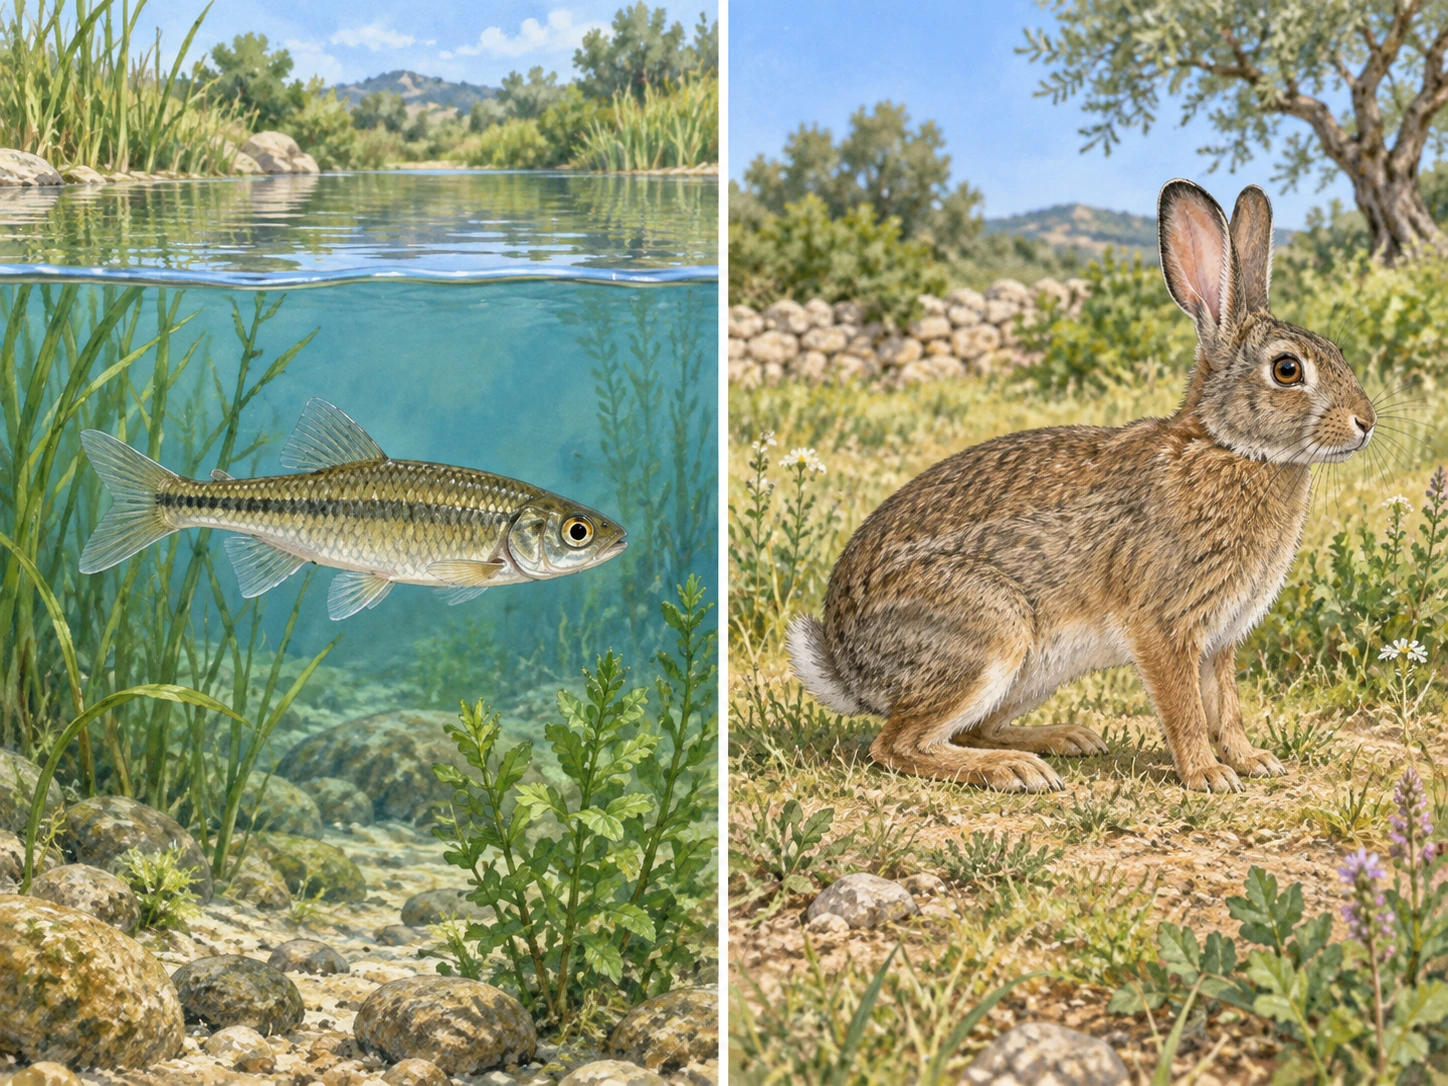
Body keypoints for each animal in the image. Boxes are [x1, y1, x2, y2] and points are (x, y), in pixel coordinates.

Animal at [787, 179, 1376, 794]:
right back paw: (1014, 770)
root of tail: (847, 666)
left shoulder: (1219, 639)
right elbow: (1186, 708)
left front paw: (1252, 760)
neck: (1227, 445)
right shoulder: (1164, 625)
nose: (1366, 422)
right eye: (1287, 370)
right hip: (991, 629)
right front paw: (1208, 775)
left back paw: (1065, 739)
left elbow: (1227, 704)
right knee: (899, 743)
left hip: (1026, 670)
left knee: (967, 729)